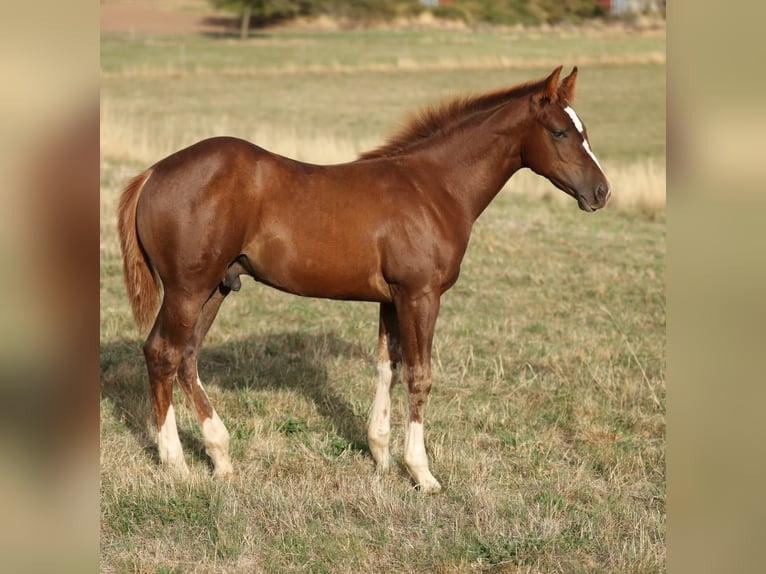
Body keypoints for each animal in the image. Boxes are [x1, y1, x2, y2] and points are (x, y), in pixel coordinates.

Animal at [117, 66, 610, 492]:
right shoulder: (421, 295)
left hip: (217, 286)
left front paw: (380, 456)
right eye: (560, 132)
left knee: (187, 356)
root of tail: (153, 173)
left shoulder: (392, 299)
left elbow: (386, 366)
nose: (601, 192)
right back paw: (176, 463)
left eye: (584, 130)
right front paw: (421, 472)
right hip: (188, 289)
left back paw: (220, 457)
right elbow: (419, 375)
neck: (433, 188)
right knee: (162, 352)